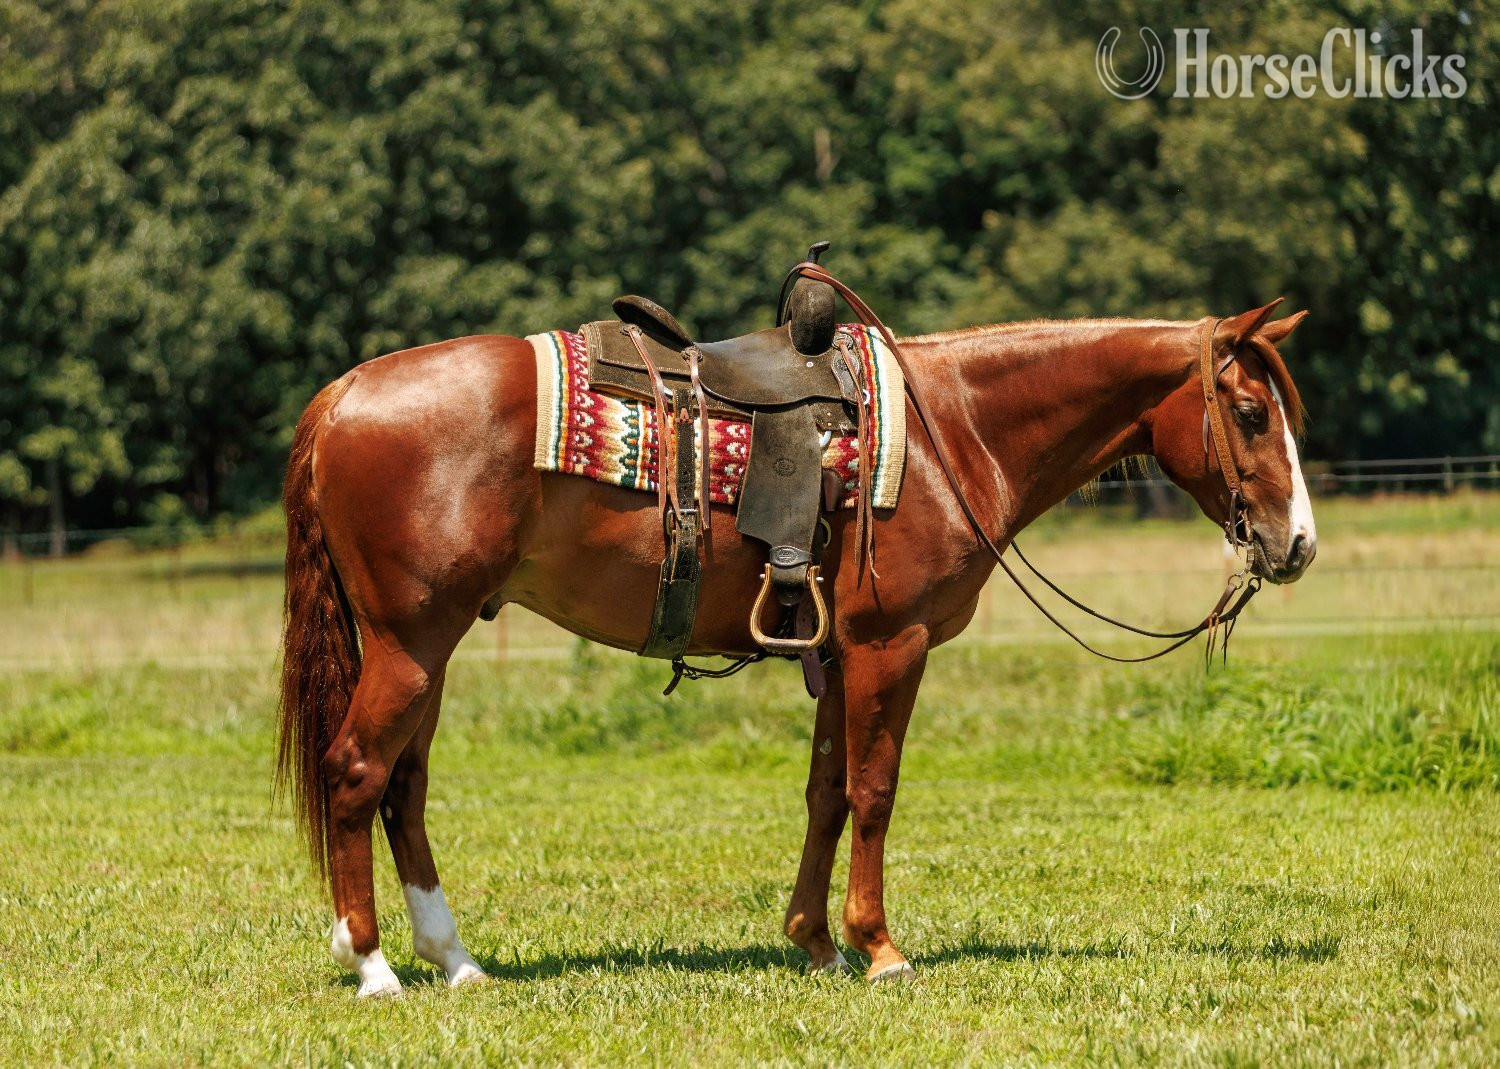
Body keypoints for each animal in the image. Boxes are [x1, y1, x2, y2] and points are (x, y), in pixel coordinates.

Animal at [277, 298, 1317, 996]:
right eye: (1251, 413)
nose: (1298, 544)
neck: (952, 430)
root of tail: (344, 393)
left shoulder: (838, 654)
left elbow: (826, 791)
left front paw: (814, 940)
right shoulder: (890, 644)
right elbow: (874, 790)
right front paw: (880, 947)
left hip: (432, 648)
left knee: (404, 789)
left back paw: (454, 959)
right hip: (410, 641)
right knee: (357, 769)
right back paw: (372, 964)